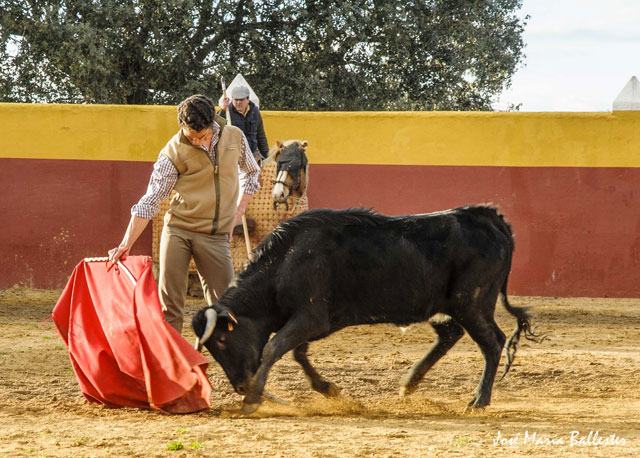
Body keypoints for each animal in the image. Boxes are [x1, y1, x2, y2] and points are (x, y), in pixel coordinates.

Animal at [192, 206, 544, 414]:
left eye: (221, 339)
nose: (240, 385)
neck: (286, 260)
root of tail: (489, 217)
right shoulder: (319, 321)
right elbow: (297, 352)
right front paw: (330, 389)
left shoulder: (311, 317)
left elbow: (274, 347)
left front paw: (252, 399)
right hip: (449, 305)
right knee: (451, 333)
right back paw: (409, 384)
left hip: (471, 302)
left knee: (492, 342)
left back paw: (478, 400)